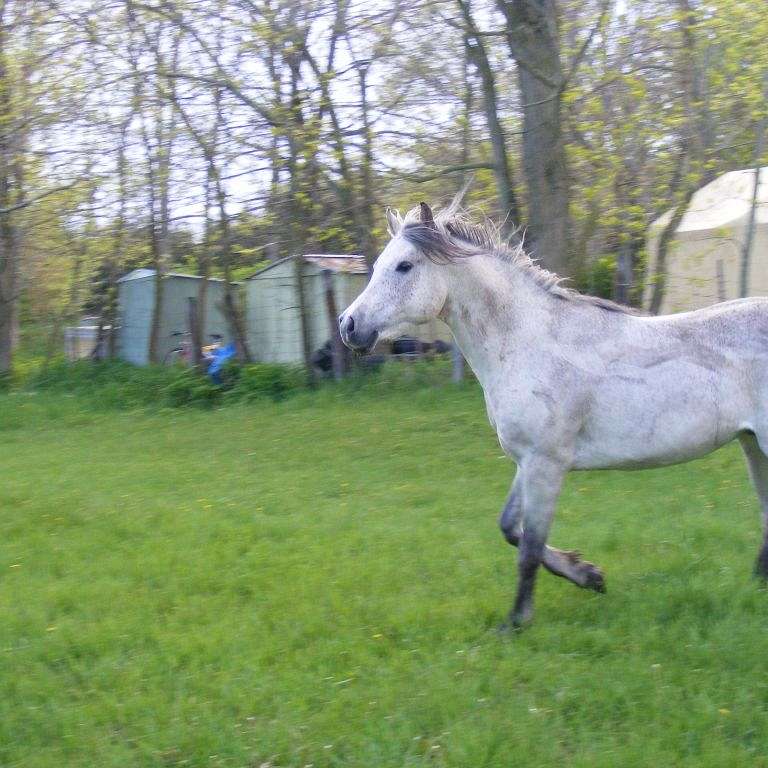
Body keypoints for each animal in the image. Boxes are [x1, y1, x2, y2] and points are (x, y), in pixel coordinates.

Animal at [342, 201, 768, 628]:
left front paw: (515, 622)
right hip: (751, 445)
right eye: (379, 264)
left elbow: (530, 546)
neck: (530, 343)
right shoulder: (526, 461)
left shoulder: (545, 463)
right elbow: (510, 527)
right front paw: (589, 575)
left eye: (404, 266)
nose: (348, 326)